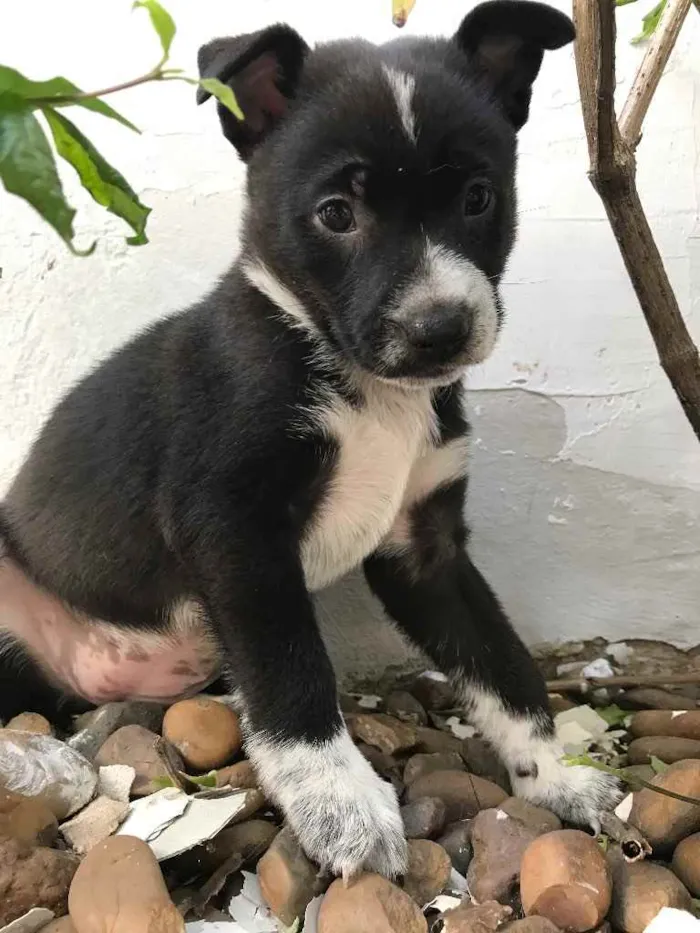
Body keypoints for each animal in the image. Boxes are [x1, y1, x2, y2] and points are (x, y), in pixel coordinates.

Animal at [0, 0, 616, 876]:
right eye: (336, 213)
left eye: (477, 196)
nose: (442, 328)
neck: (362, 385)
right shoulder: (236, 529)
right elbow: (292, 673)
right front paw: (342, 805)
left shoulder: (425, 548)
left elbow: (503, 663)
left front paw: (555, 769)